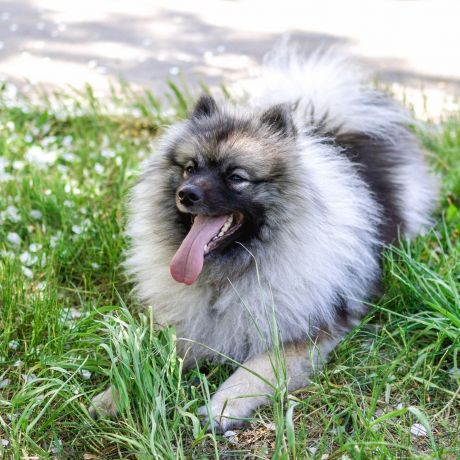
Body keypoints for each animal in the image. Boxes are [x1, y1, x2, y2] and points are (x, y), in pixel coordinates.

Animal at [90, 47, 438, 432]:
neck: (228, 274)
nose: (187, 194)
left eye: (236, 177)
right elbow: (151, 359)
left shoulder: (305, 333)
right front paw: (117, 395)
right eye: (190, 168)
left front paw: (222, 406)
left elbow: (255, 370)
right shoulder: (188, 325)